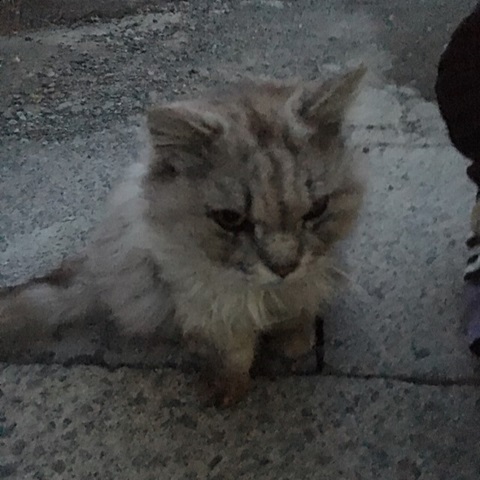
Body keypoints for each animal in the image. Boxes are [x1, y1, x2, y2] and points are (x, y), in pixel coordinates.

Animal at [0, 66, 366, 406]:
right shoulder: (208, 299)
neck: (268, 293)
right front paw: (228, 386)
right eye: (230, 219)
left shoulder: (312, 274)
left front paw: (296, 341)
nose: (284, 268)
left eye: (317, 209)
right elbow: (233, 347)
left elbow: (299, 309)